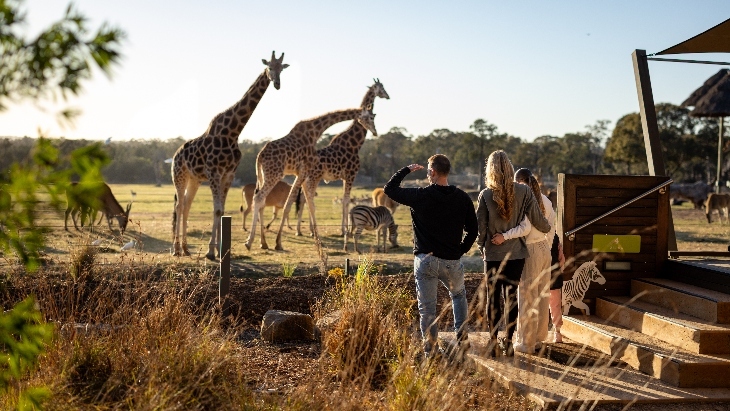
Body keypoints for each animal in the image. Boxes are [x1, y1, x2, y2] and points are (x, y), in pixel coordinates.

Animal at [171, 50, 288, 260]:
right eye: (269, 67)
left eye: (281, 69)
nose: (277, 84)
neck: (233, 132)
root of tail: (176, 154)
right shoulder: (214, 172)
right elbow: (217, 209)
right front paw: (211, 251)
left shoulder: (229, 174)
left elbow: (222, 210)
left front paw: (219, 250)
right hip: (179, 175)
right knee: (179, 206)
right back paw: (176, 249)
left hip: (194, 179)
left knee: (186, 205)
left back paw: (185, 248)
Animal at [245, 106, 378, 253]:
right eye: (371, 117)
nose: (375, 131)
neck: (315, 132)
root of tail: (260, 155)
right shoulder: (306, 171)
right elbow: (296, 204)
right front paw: (280, 242)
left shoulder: (303, 173)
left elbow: (308, 204)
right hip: (274, 174)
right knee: (259, 198)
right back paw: (250, 242)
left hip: (264, 175)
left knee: (261, 201)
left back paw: (262, 243)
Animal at [288, 79, 386, 237]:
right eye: (382, 88)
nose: (388, 96)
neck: (355, 144)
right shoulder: (351, 174)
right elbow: (346, 200)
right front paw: (346, 230)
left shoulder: (345, 177)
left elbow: (346, 200)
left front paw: (345, 229)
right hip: (313, 178)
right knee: (306, 199)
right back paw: (308, 230)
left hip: (308, 179)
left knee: (304, 199)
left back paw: (302, 230)